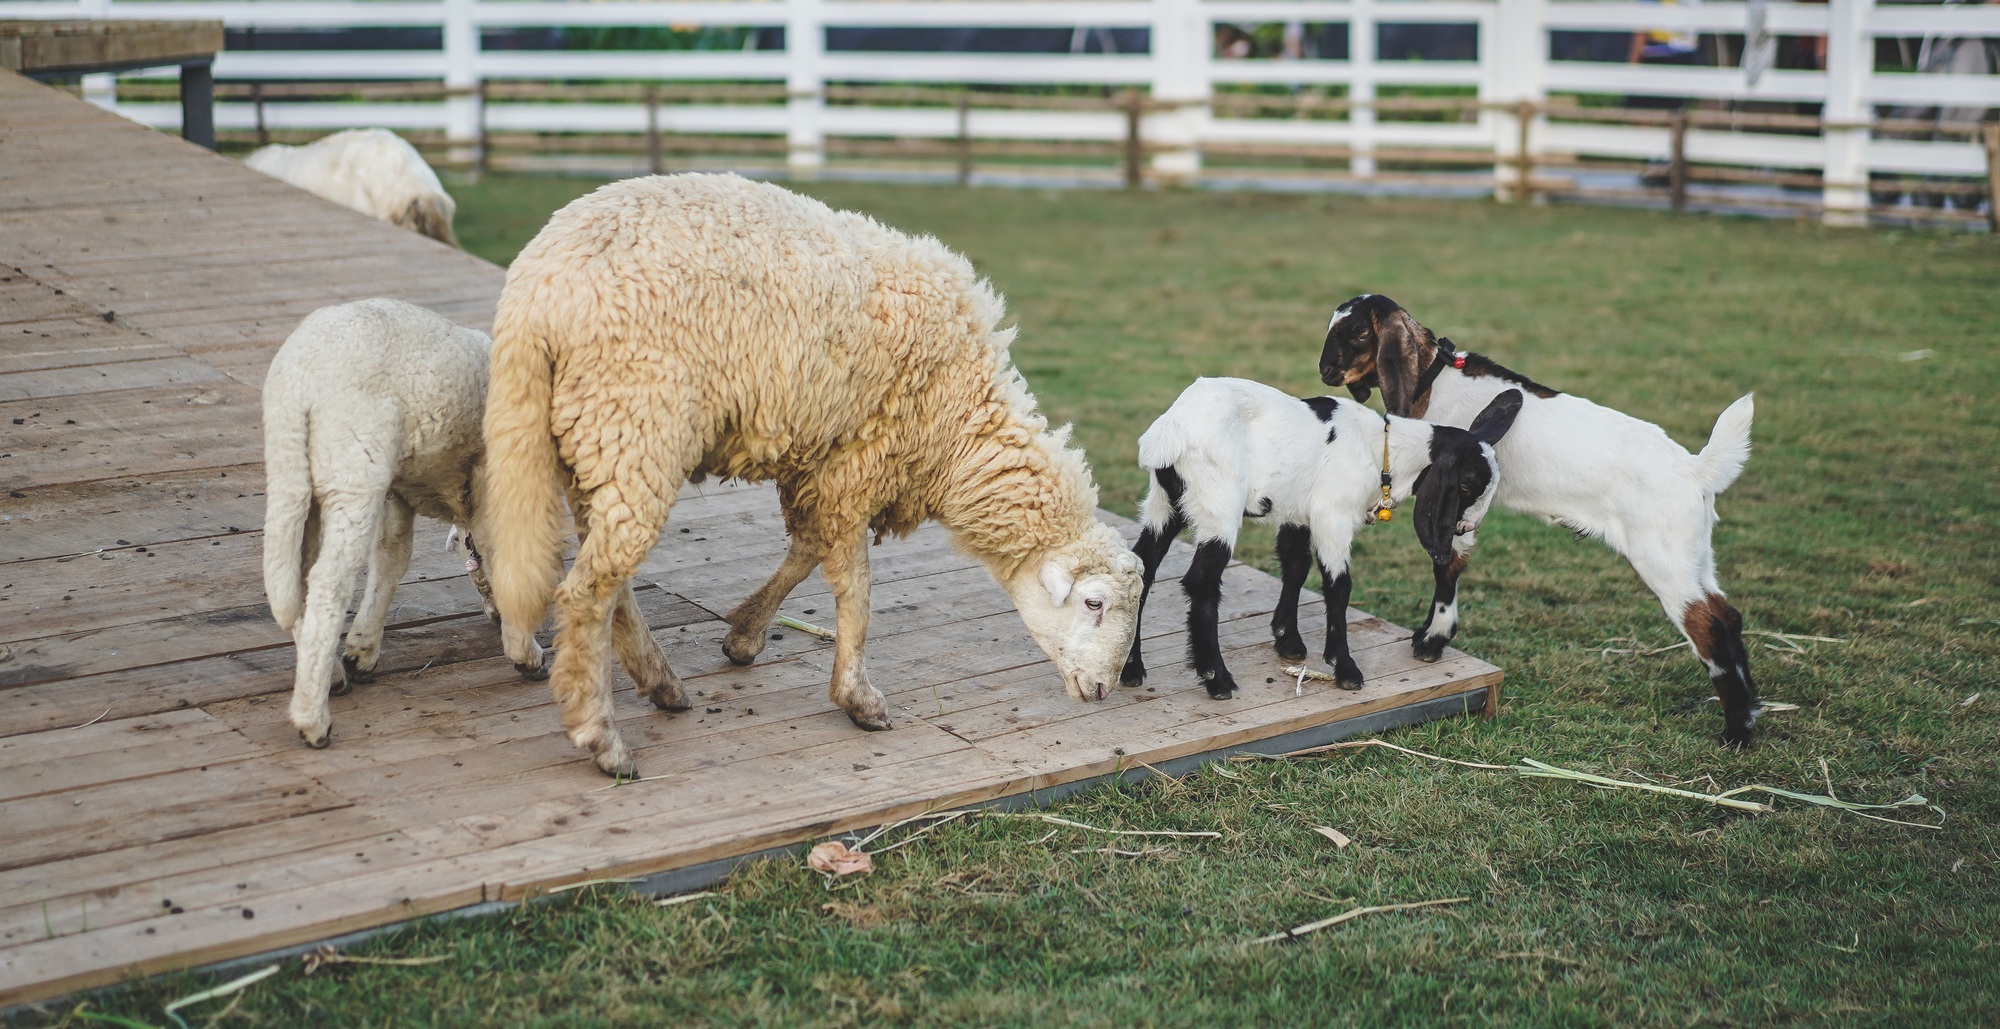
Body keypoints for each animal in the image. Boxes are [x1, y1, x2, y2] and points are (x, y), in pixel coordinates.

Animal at [262, 294, 660, 744]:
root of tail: (300, 384)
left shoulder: (399, 489)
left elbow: (392, 560)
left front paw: (362, 649)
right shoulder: (489, 477)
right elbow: (503, 551)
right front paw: (524, 652)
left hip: (293, 473)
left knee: (293, 575)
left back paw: (327, 675)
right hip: (354, 464)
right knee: (328, 582)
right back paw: (313, 719)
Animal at [1120, 376, 1520, 696]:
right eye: (1467, 485)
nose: (1466, 529)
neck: (1381, 450)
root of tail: (1171, 431)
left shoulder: (1298, 513)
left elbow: (1296, 565)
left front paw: (1288, 641)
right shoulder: (1333, 517)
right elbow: (1338, 586)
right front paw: (1345, 668)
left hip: (1164, 504)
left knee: (1141, 570)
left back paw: (1131, 668)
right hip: (1219, 505)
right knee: (1202, 582)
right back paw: (1216, 679)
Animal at [1320, 292, 1760, 740]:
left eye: (1359, 332)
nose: (1326, 370)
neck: (1436, 380)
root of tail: (1695, 469)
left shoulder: (1459, 501)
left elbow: (1448, 565)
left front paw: (1433, 641)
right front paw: (1430, 636)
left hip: (1664, 559)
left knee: (1709, 628)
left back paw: (1736, 732)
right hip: (1694, 554)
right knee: (1729, 615)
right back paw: (1749, 714)